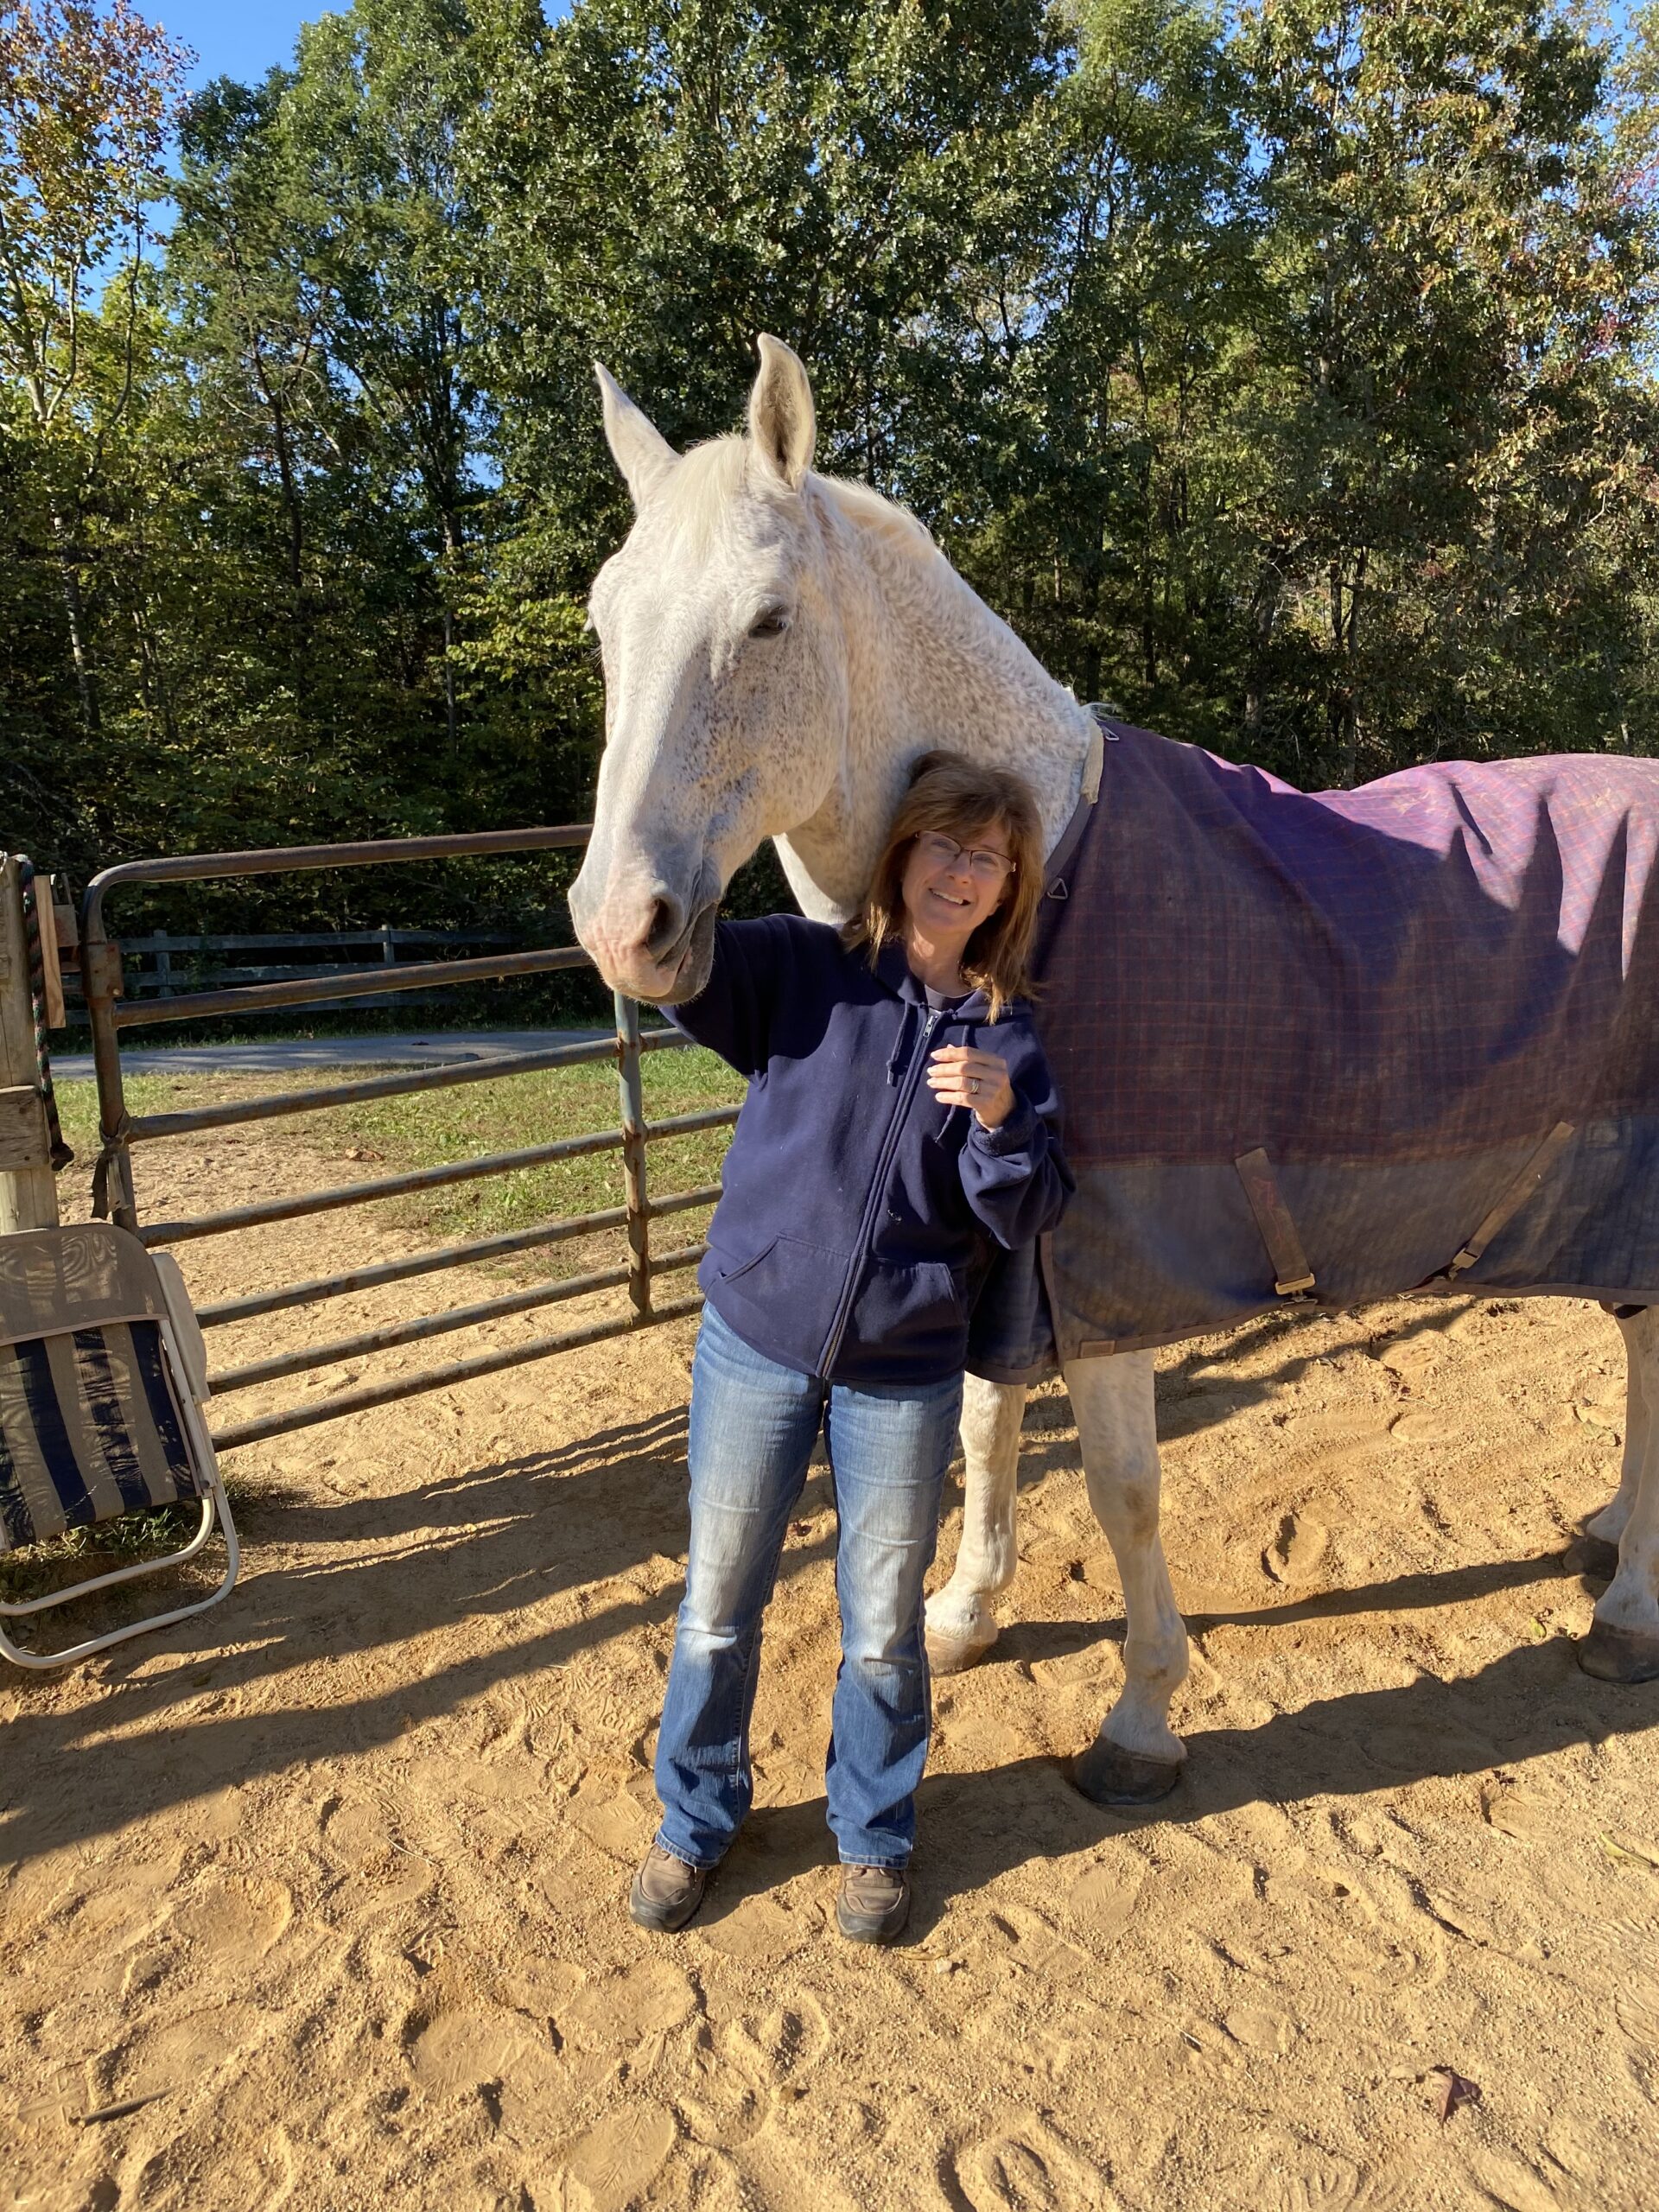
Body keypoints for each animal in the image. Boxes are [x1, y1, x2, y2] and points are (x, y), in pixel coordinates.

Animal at [568, 333, 1659, 1806]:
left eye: (770, 621)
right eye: (603, 622)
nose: (621, 924)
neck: (1052, 881)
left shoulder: (1113, 1269)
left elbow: (1123, 1491)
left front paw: (1141, 1718)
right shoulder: (1000, 1254)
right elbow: (984, 1428)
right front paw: (962, 1616)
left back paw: (1629, 1614)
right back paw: (1611, 1539)